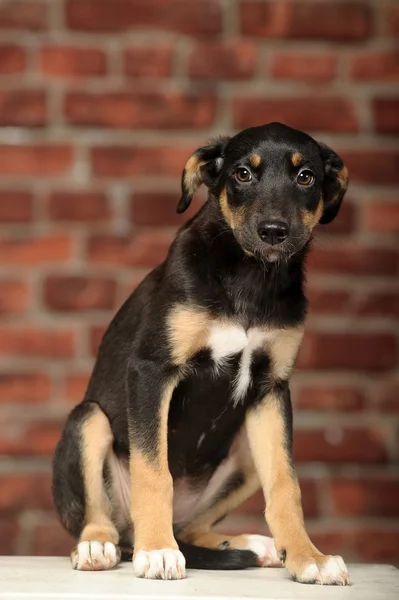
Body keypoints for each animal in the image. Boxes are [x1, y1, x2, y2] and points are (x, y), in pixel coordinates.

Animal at [52, 122, 350, 584]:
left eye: (306, 177)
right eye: (243, 174)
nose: (273, 231)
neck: (250, 276)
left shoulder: (271, 389)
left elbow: (286, 484)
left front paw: (308, 557)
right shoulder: (152, 371)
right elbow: (153, 471)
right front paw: (157, 551)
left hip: (244, 451)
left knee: (193, 527)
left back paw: (250, 545)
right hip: (87, 421)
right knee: (101, 518)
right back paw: (102, 545)